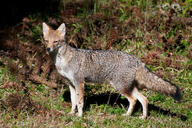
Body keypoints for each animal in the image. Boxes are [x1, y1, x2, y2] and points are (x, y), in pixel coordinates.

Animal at [42, 22, 182, 119]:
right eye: (46, 41)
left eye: (56, 41)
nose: (48, 49)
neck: (62, 61)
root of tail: (136, 59)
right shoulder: (71, 84)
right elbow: (73, 101)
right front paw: (72, 113)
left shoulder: (79, 83)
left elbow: (80, 102)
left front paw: (80, 116)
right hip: (128, 87)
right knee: (144, 99)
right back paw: (142, 117)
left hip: (120, 87)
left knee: (134, 100)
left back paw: (128, 115)